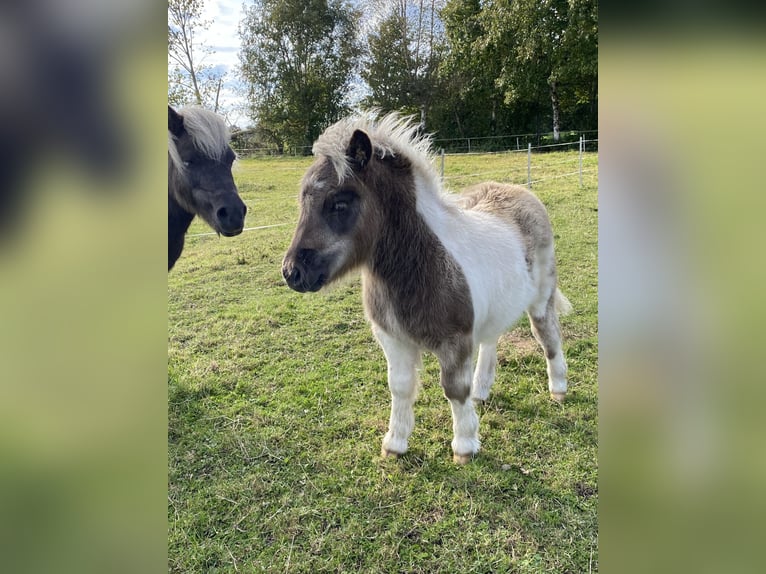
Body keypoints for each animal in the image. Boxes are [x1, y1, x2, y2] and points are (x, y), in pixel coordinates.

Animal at [282, 115, 568, 466]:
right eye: (303, 202)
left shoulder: (454, 342)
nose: (292, 273)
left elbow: (454, 390)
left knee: (549, 337)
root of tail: (522, 193)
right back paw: (481, 392)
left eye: (339, 203)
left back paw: (558, 389)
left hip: (541, 300)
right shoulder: (393, 339)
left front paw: (465, 446)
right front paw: (395, 443)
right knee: (491, 341)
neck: (419, 264)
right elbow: (400, 387)